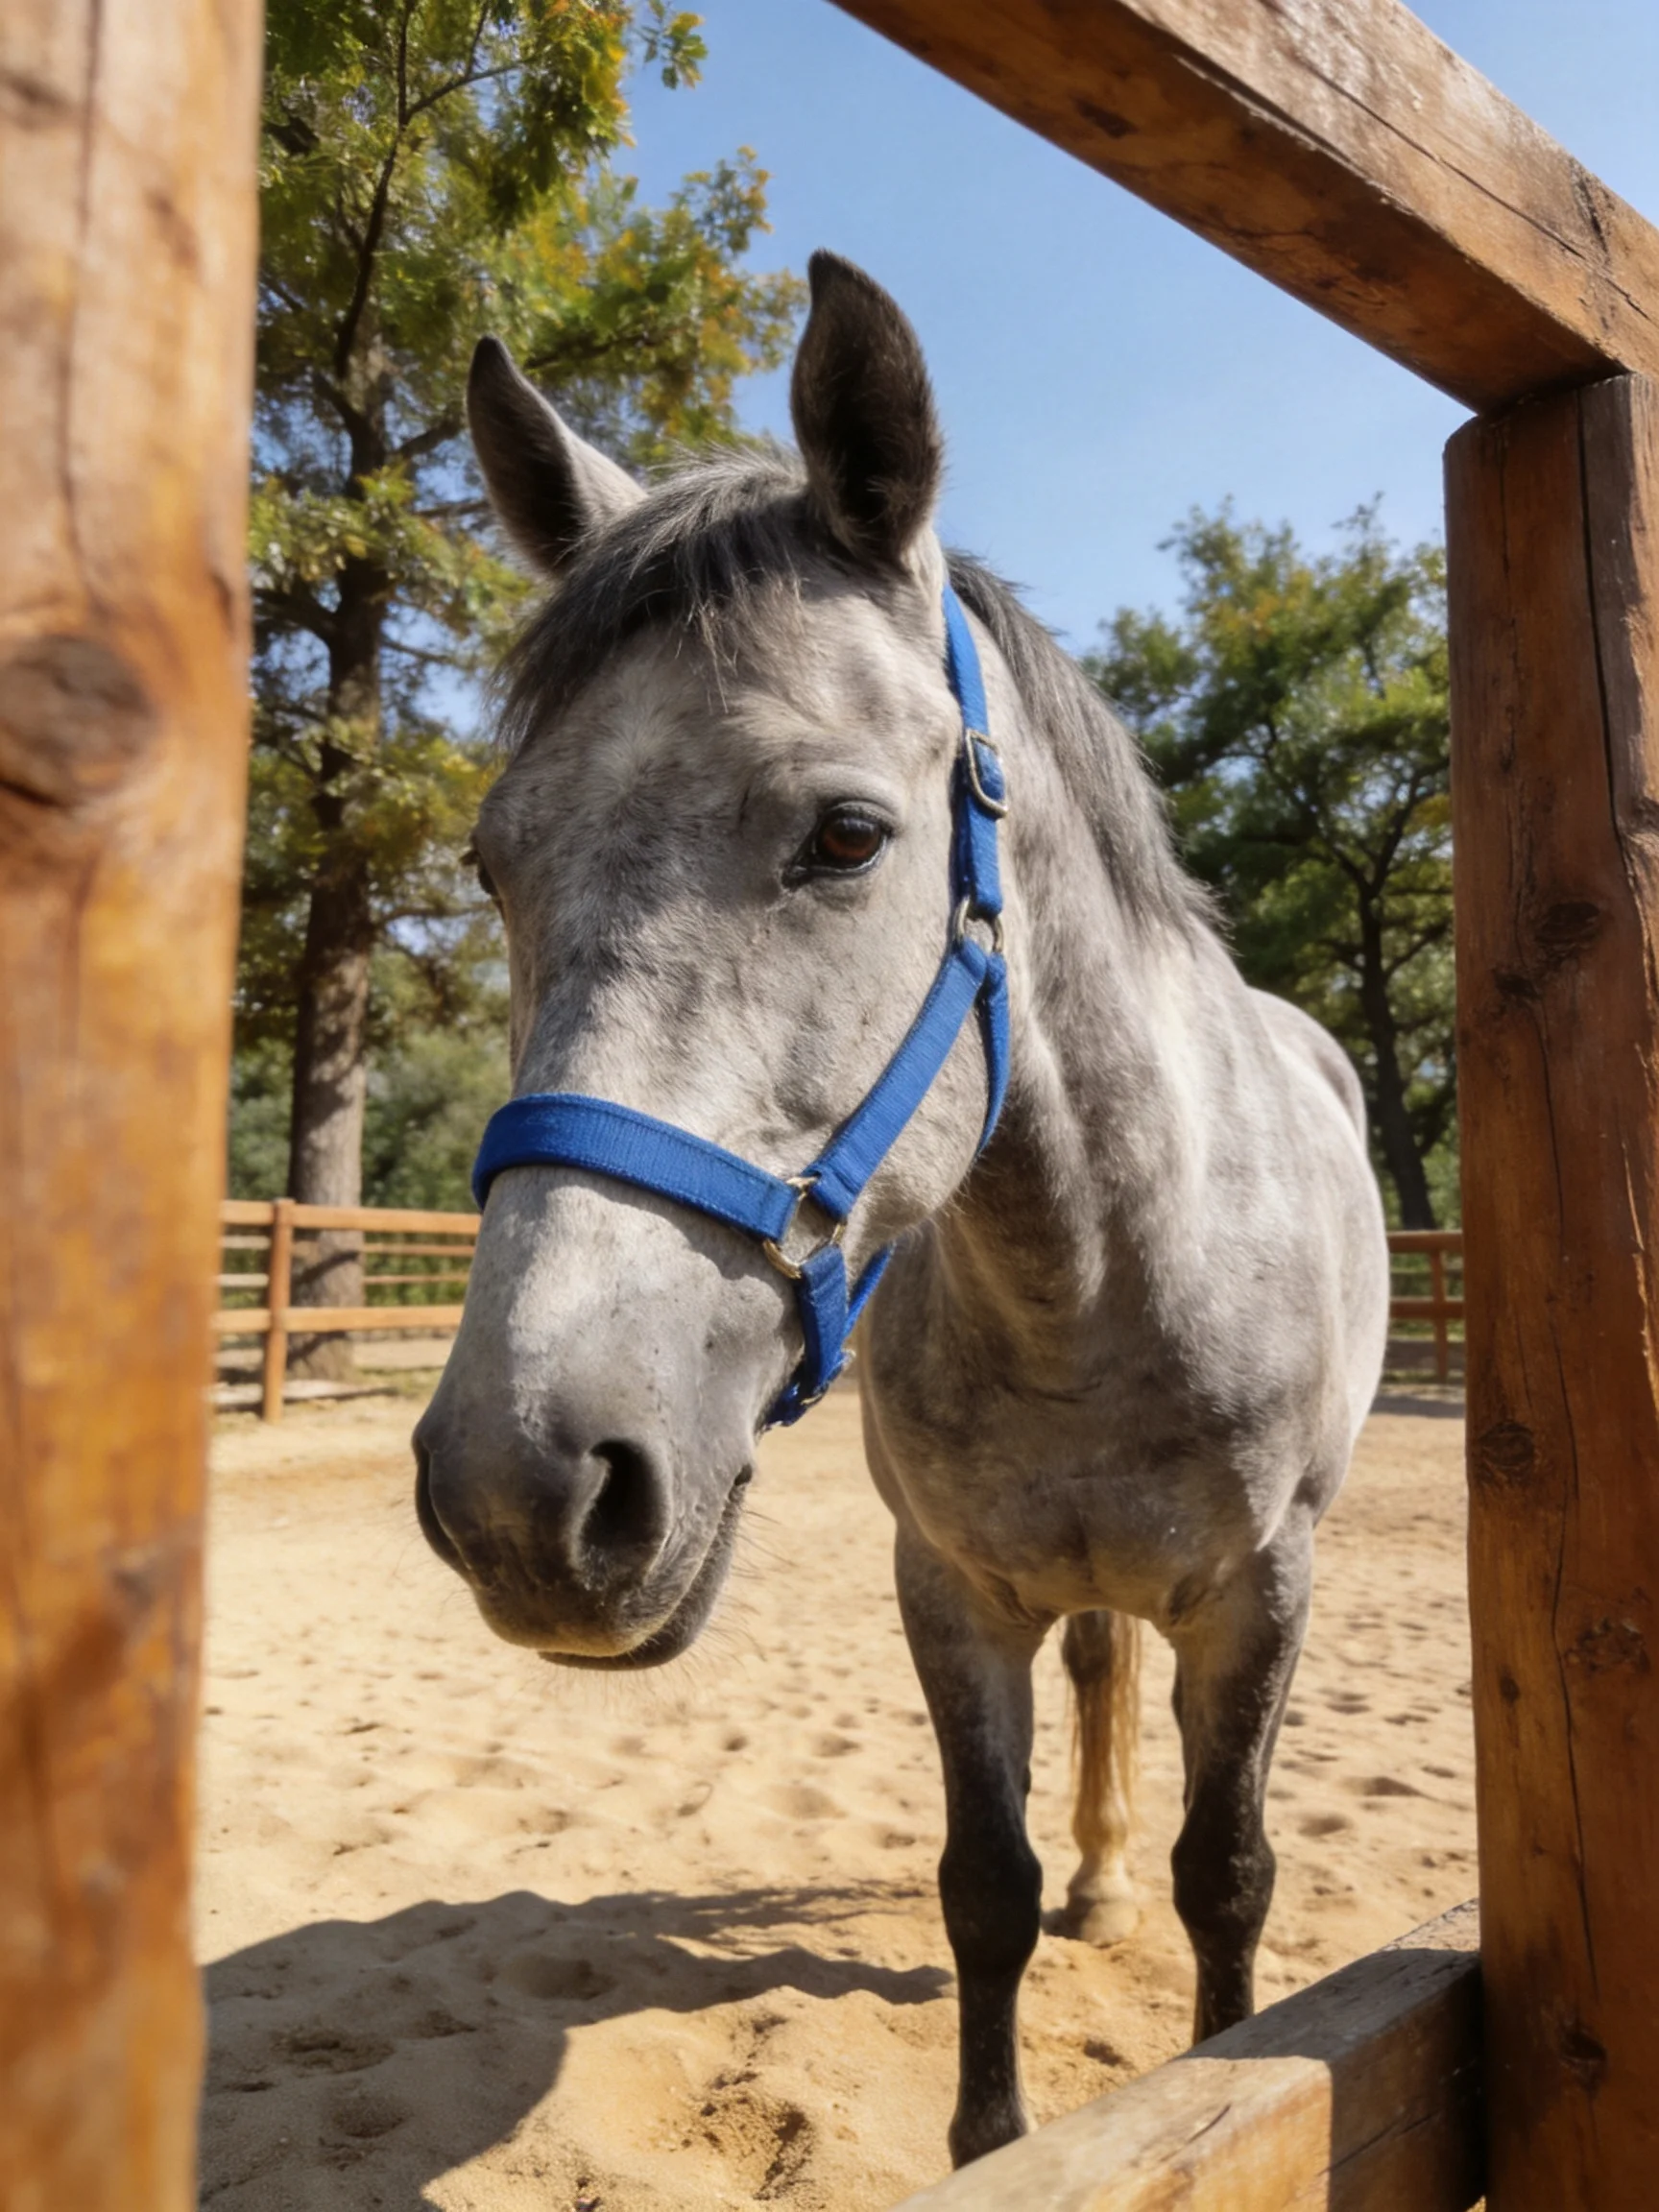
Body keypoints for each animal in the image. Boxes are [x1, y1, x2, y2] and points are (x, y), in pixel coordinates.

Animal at [413, 251, 1391, 2168]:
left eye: (848, 835)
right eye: (492, 864)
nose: (521, 1490)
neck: (1094, 1279)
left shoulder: (1262, 1592)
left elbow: (1232, 1880)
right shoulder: (947, 1590)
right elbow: (982, 1886)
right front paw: (1000, 2109)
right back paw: (1099, 1879)